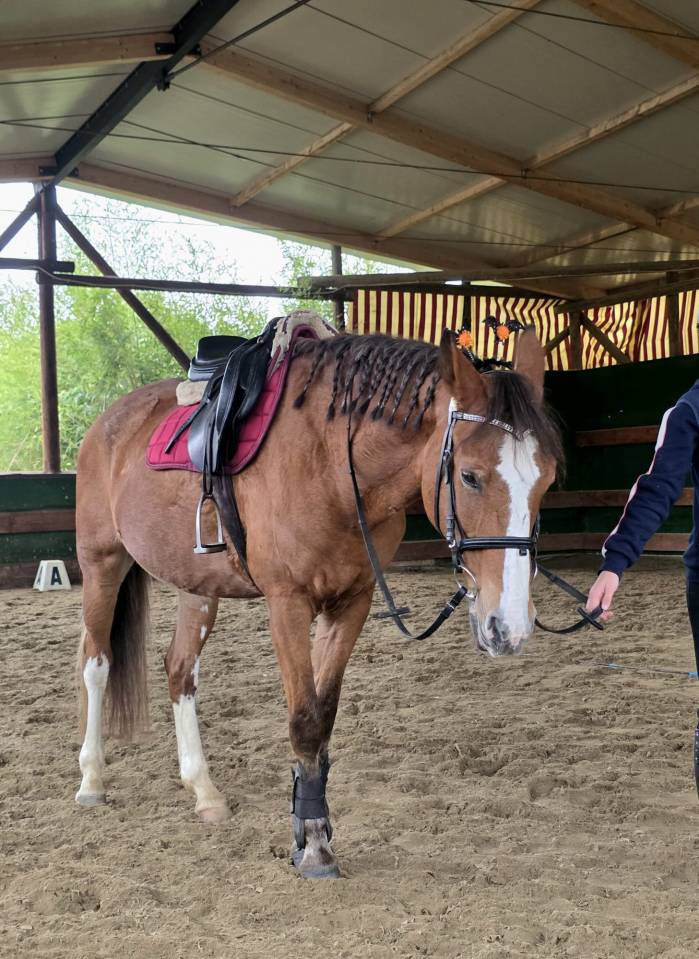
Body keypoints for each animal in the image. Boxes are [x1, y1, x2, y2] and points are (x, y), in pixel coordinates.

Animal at [74, 326, 562, 879]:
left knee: (180, 671)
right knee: (96, 663)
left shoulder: (352, 602)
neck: (331, 466)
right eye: (470, 476)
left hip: (195, 587)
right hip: (102, 565)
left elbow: (324, 716)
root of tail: (109, 421)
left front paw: (315, 829)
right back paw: (91, 779)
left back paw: (204, 791)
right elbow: (304, 721)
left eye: (547, 479)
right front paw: (311, 846)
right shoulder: (288, 604)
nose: (511, 626)